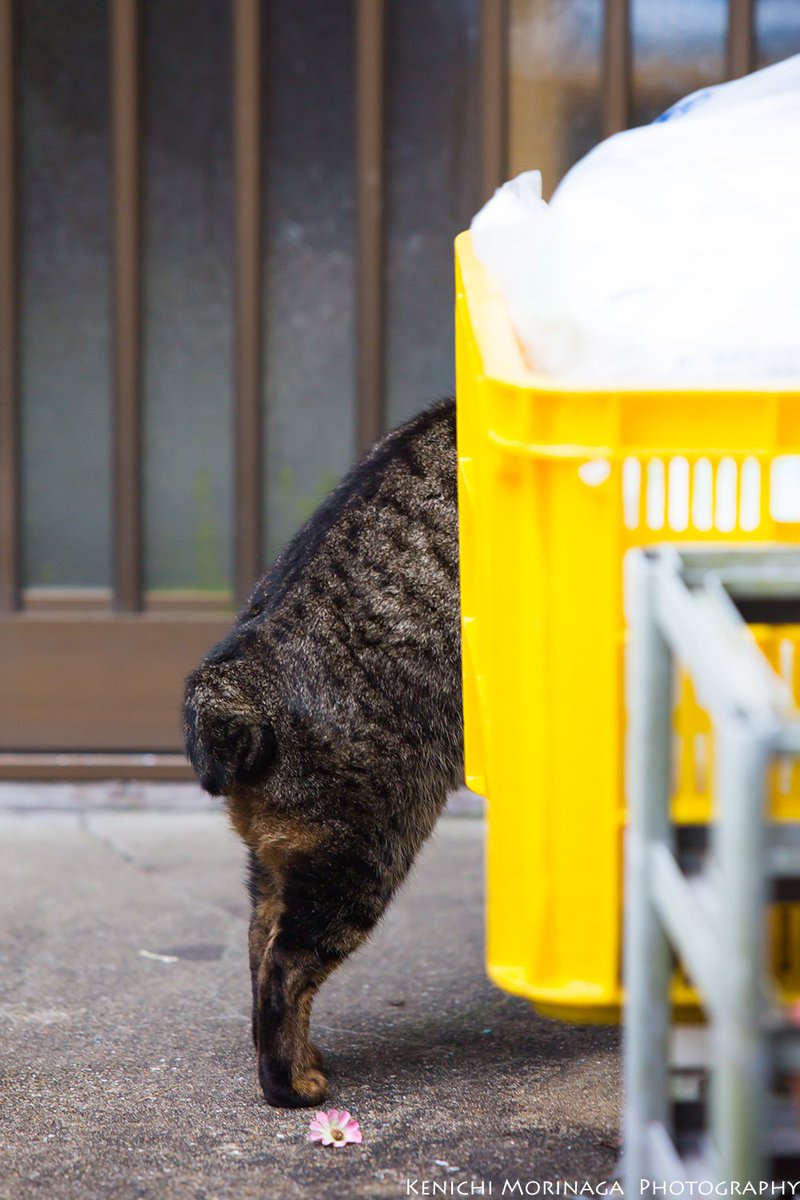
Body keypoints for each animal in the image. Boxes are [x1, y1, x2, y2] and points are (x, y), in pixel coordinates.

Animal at [183, 398, 462, 1108]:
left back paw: (301, 1057)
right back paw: (292, 1085)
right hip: (360, 849)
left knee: (260, 945)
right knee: (285, 967)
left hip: (281, 858)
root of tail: (236, 680)